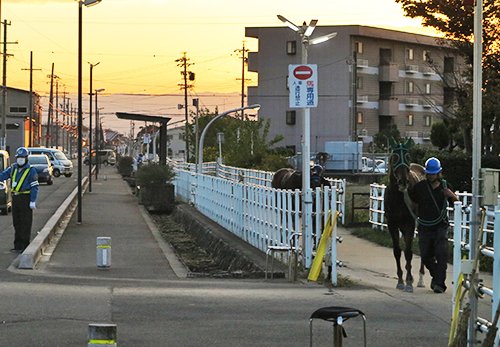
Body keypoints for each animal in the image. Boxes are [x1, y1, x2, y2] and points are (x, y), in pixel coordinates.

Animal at [382, 137, 426, 292]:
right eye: (394, 157)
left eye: (407, 156)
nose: (403, 181)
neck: (398, 197)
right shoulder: (392, 224)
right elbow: (397, 251)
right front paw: (401, 280)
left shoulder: (410, 224)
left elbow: (408, 252)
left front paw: (408, 281)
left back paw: (420, 278)